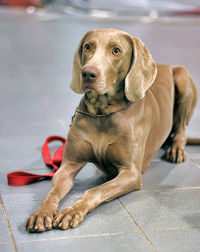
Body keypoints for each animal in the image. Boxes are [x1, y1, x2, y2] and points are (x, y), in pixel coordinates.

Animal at [25, 28, 198, 231]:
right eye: (88, 47)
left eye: (116, 51)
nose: (87, 73)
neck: (102, 114)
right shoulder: (68, 166)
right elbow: (52, 192)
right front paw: (42, 213)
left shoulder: (131, 173)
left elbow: (94, 190)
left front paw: (72, 211)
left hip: (182, 77)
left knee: (181, 130)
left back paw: (176, 149)